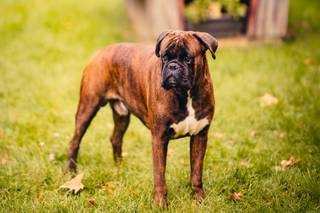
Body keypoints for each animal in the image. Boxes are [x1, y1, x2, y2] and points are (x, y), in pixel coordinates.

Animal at [67, 30, 218, 208]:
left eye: (188, 58)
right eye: (164, 57)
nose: (172, 66)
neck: (185, 94)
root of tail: (101, 51)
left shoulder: (200, 135)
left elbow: (196, 172)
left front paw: (199, 198)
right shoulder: (159, 138)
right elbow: (159, 175)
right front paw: (160, 204)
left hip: (122, 115)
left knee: (115, 138)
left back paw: (120, 167)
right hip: (88, 106)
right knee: (74, 140)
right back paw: (70, 172)